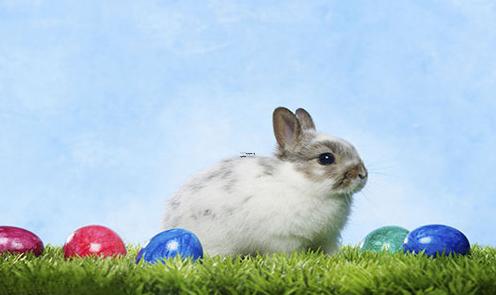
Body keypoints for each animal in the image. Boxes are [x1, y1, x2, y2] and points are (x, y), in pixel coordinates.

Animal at [161, 107, 366, 256]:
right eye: (326, 158)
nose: (363, 174)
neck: (304, 184)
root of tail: (169, 222)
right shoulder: (285, 239)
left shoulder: (328, 238)